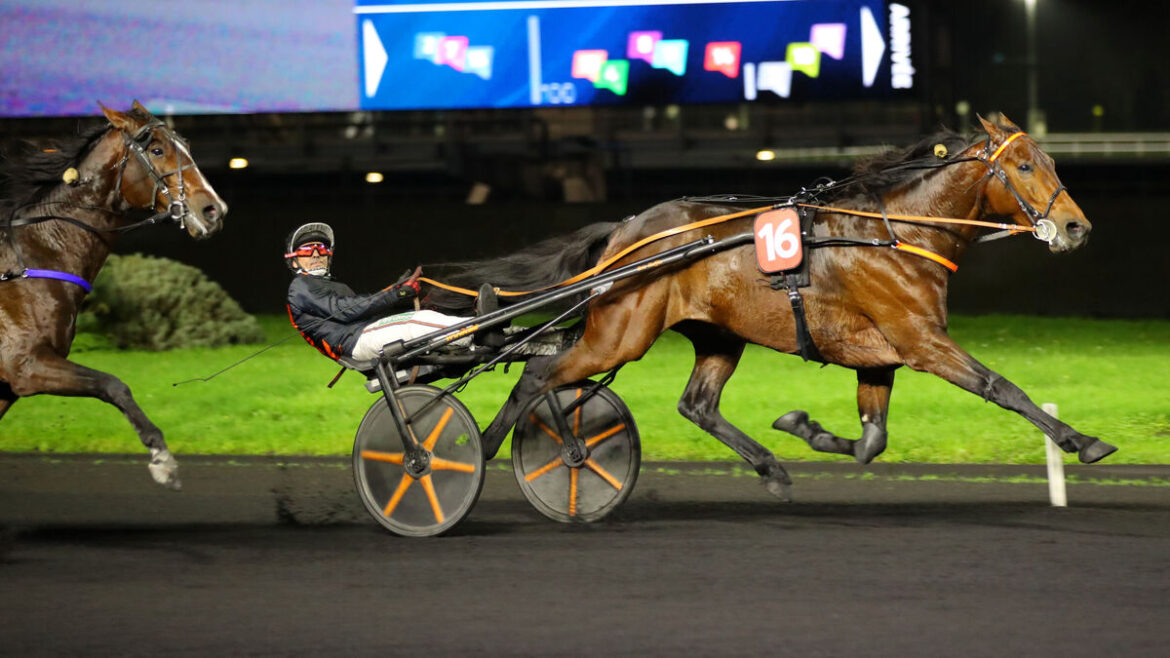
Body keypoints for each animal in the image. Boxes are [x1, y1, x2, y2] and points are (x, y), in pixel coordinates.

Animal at [1, 101, 228, 487]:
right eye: (157, 150)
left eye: (185, 146)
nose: (213, 210)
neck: (31, 260)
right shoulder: (24, 365)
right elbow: (113, 384)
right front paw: (162, 458)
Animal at [428, 114, 1113, 496]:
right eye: (1023, 165)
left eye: (1051, 160)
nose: (1076, 227)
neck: (897, 231)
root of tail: (626, 230)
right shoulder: (921, 341)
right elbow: (1003, 388)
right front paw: (1081, 441)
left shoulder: (879, 355)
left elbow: (872, 441)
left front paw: (802, 427)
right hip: (619, 331)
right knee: (541, 374)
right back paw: (477, 452)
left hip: (717, 335)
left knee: (696, 405)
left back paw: (771, 468)